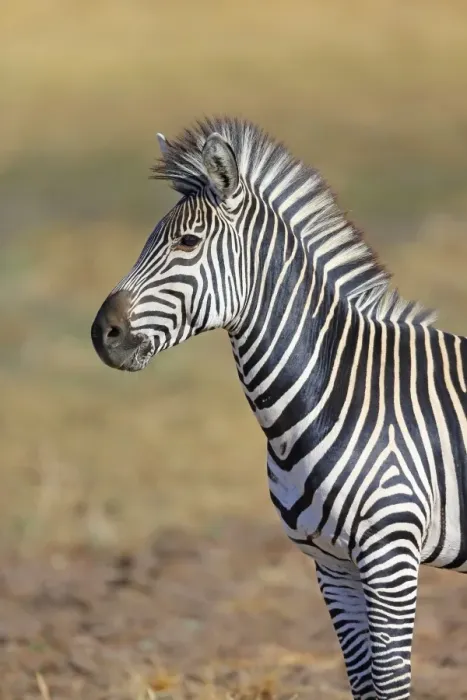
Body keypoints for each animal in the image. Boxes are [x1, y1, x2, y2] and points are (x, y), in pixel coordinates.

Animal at [91, 117, 467, 700]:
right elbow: (362, 682)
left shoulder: (391, 555)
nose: (101, 335)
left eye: (187, 242)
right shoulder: (332, 565)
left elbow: (389, 683)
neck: (332, 396)